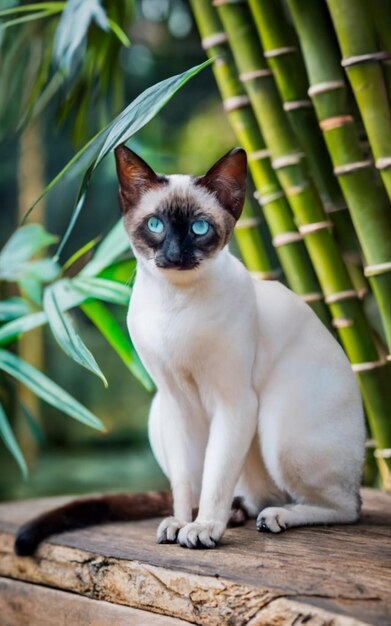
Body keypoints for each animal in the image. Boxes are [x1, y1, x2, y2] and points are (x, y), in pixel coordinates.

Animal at [13, 144, 366, 552]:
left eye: (199, 228)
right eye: (156, 225)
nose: (174, 254)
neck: (175, 305)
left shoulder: (233, 402)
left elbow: (215, 477)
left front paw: (203, 528)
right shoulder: (175, 400)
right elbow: (186, 483)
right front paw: (182, 524)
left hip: (277, 429)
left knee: (344, 507)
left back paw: (274, 516)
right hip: (158, 414)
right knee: (251, 496)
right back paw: (237, 514)